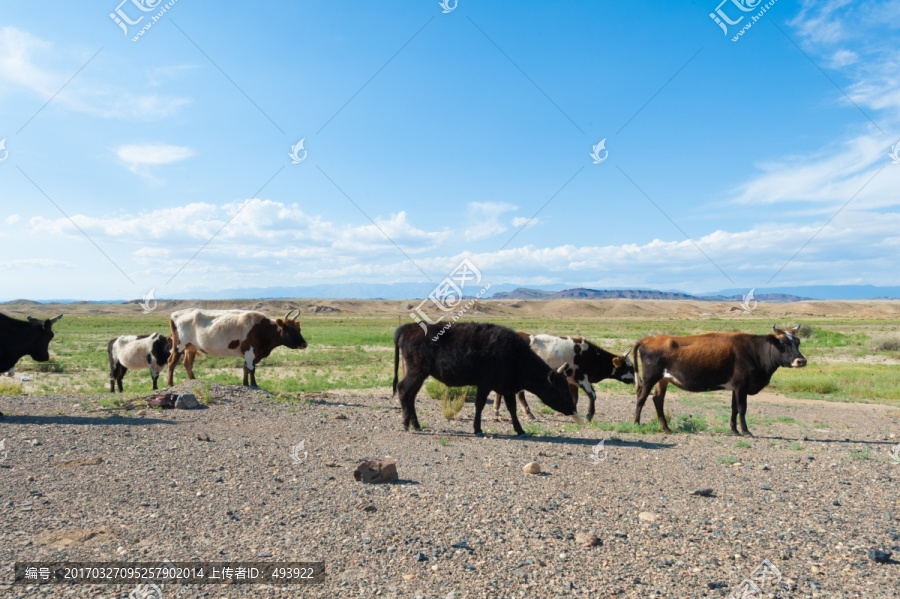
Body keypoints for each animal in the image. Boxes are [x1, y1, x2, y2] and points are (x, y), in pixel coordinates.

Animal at [166, 310, 310, 390]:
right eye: (288, 329)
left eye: (299, 329)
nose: (304, 344)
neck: (262, 328)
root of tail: (175, 314)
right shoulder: (250, 351)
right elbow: (251, 369)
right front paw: (254, 384)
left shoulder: (249, 354)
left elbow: (245, 368)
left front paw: (245, 383)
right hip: (179, 345)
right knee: (171, 362)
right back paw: (170, 384)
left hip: (191, 347)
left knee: (187, 363)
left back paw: (193, 380)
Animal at [390, 322, 580, 438]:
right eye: (562, 389)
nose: (572, 408)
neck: (514, 354)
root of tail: (408, 327)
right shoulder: (485, 384)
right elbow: (480, 405)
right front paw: (478, 429)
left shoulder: (507, 388)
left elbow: (512, 409)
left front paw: (520, 429)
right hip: (416, 372)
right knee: (403, 389)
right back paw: (406, 423)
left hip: (421, 375)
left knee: (411, 395)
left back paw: (416, 424)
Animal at [496, 332, 636, 422]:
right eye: (630, 367)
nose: (637, 380)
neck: (591, 356)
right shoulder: (582, 378)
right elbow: (592, 395)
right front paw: (589, 415)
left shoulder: (572, 381)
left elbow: (575, 397)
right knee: (520, 394)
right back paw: (529, 413)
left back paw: (497, 411)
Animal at [632, 324, 808, 436]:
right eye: (783, 343)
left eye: (797, 342)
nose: (801, 361)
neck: (754, 350)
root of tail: (649, 339)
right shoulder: (742, 386)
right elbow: (742, 408)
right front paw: (746, 431)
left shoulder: (735, 387)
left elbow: (734, 408)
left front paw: (734, 430)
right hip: (650, 378)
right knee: (641, 397)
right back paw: (636, 424)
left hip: (663, 380)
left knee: (657, 399)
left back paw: (666, 429)